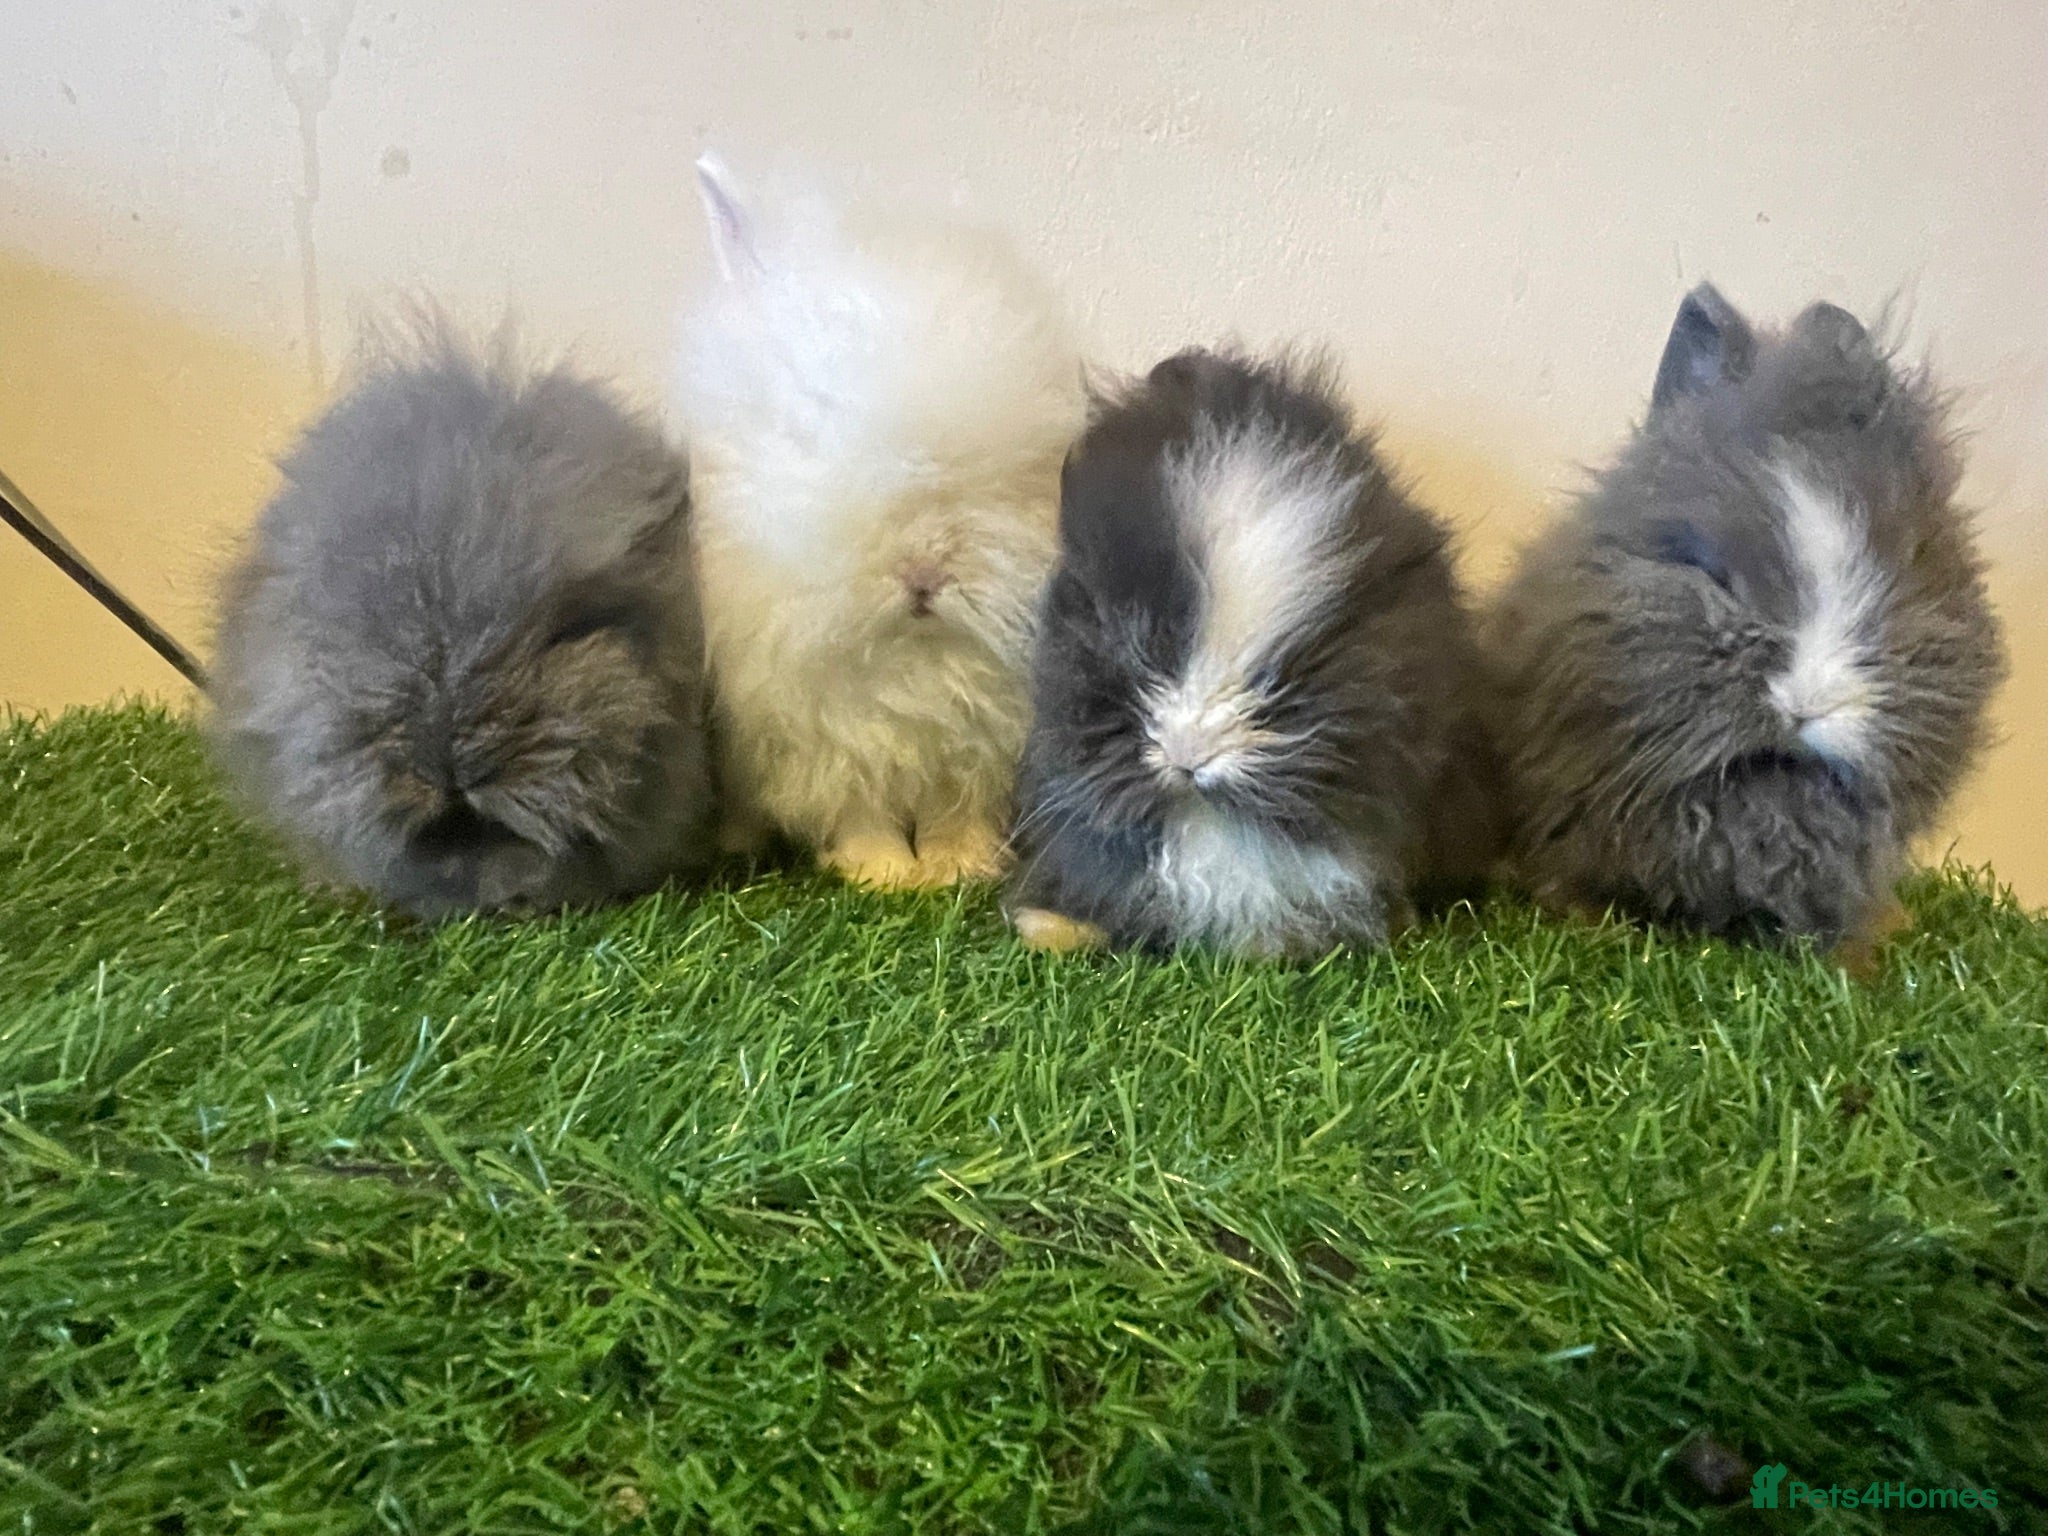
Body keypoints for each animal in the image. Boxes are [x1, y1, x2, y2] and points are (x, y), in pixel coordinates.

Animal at [671, 154, 1084, 889]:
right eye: (802, 436)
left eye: (1032, 452)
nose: (925, 571)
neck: (910, 666)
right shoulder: (821, 740)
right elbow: (858, 810)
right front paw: (883, 876)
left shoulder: (978, 741)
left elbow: (957, 809)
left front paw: (956, 871)